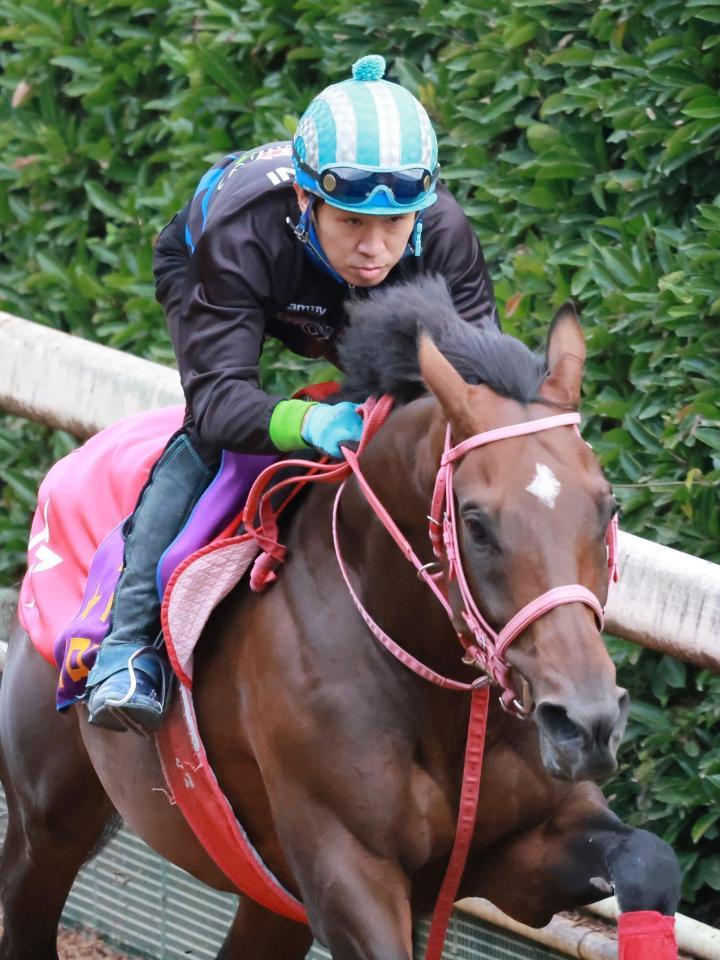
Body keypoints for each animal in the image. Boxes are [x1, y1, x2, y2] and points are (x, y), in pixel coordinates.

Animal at [0, 280, 680, 960]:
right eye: (477, 523)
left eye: (607, 506)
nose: (585, 722)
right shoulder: (348, 869)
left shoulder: (525, 849)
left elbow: (650, 859)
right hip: (47, 818)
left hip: (271, 899)